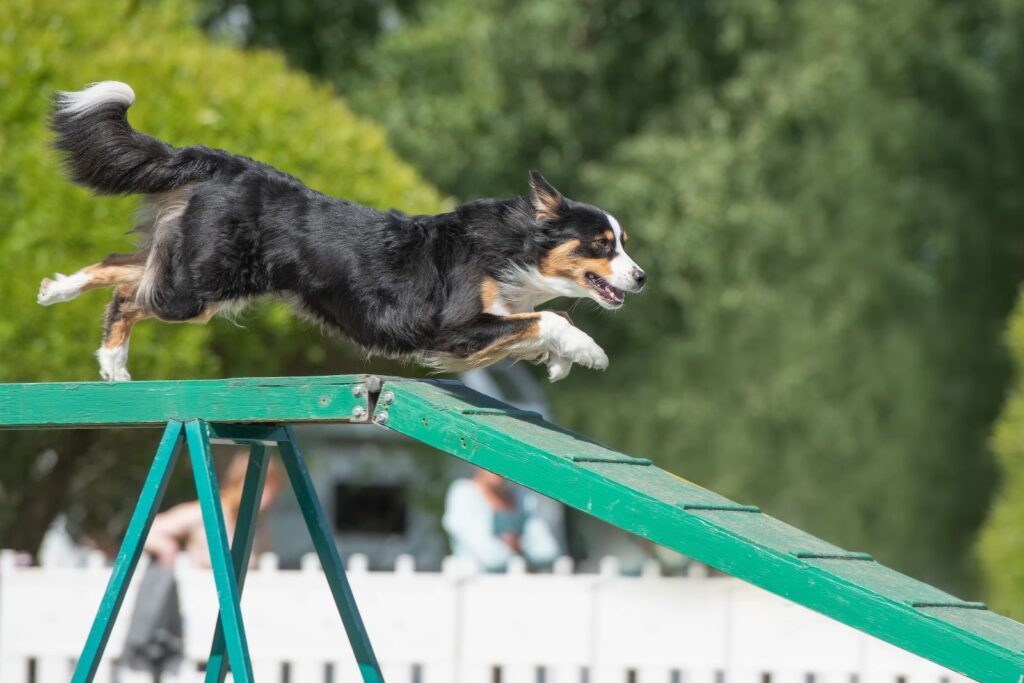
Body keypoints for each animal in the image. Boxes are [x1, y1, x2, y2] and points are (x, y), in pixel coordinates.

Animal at [41, 81, 647, 382]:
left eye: (624, 244)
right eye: (602, 245)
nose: (642, 277)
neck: (512, 249)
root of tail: (229, 165)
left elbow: (542, 323)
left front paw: (563, 359)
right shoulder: (453, 326)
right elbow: (548, 318)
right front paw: (588, 353)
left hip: (194, 269)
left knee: (120, 265)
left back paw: (60, 294)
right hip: (201, 287)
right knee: (131, 293)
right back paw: (113, 362)